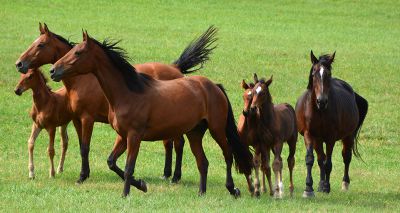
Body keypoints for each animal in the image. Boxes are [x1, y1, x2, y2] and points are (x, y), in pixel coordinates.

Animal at [15, 22, 217, 183]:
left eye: (41, 44)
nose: (19, 64)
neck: (84, 79)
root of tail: (176, 69)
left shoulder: (87, 119)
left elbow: (85, 147)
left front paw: (82, 176)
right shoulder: (77, 120)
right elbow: (81, 146)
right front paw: (85, 173)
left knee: (178, 143)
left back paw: (174, 176)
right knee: (170, 144)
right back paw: (167, 174)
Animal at [48, 32, 252, 198]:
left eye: (78, 52)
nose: (53, 71)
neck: (128, 93)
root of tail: (213, 86)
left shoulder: (134, 136)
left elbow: (129, 167)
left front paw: (126, 193)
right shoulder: (122, 136)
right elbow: (112, 162)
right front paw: (141, 185)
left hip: (216, 129)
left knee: (228, 154)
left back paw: (232, 189)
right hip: (194, 133)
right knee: (203, 162)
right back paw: (201, 192)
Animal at [296, 50, 368, 197]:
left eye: (328, 74)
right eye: (314, 74)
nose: (321, 101)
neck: (319, 111)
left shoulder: (330, 138)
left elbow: (328, 163)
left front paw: (326, 187)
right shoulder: (309, 135)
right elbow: (311, 159)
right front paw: (309, 188)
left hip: (348, 136)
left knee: (346, 157)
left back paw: (344, 184)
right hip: (318, 140)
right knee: (320, 159)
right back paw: (320, 184)